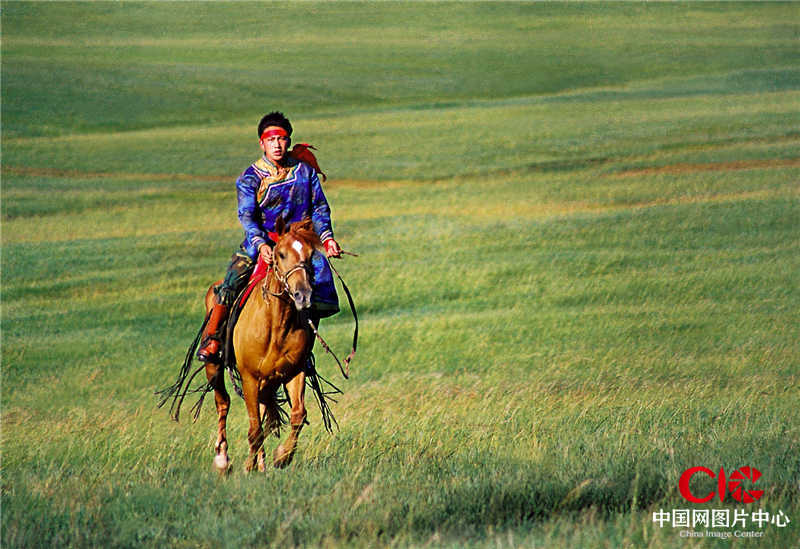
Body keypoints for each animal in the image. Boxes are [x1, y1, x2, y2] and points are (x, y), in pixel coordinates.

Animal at [203, 217, 322, 470]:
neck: (275, 324)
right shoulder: (249, 377)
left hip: (269, 383)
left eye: (310, 255)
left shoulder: (294, 372)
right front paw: (247, 467)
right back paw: (223, 458)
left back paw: (262, 462)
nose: (303, 295)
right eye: (281, 254)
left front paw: (282, 456)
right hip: (214, 366)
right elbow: (254, 429)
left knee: (267, 414)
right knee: (223, 402)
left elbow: (297, 415)